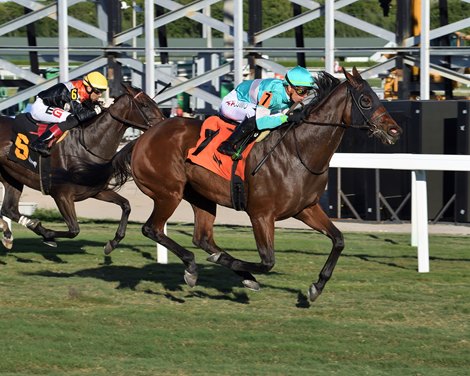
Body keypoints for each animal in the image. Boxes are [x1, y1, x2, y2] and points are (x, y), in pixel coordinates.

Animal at [0, 83, 165, 251]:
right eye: (145, 105)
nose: (163, 124)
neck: (86, 146)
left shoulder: (96, 190)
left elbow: (126, 205)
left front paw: (112, 243)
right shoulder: (61, 195)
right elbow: (74, 230)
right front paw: (48, 235)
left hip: (11, 177)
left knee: (9, 209)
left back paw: (8, 234)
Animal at [113, 68, 400, 302]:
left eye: (377, 98)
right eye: (366, 100)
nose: (395, 130)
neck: (298, 152)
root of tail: (142, 138)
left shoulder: (306, 208)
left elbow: (338, 240)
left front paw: (316, 287)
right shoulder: (261, 214)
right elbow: (267, 261)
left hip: (201, 196)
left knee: (202, 238)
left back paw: (219, 267)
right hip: (168, 193)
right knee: (152, 229)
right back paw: (194, 267)